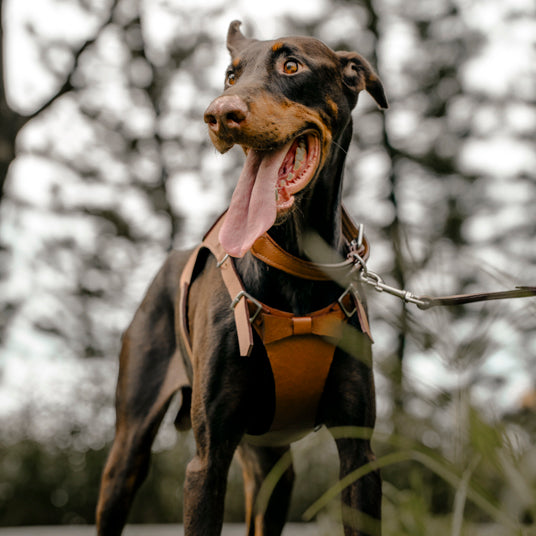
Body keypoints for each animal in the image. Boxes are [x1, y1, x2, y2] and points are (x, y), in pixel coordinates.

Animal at [96, 21, 388, 536]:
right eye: (231, 75)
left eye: (291, 66)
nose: (218, 115)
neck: (296, 264)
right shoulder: (207, 460)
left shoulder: (359, 456)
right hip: (128, 451)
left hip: (272, 466)